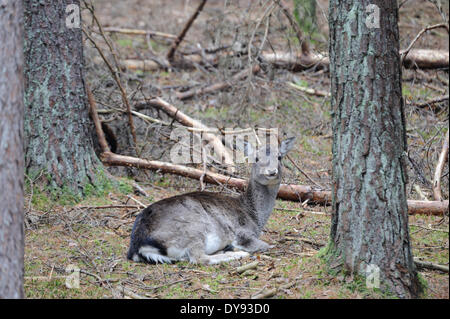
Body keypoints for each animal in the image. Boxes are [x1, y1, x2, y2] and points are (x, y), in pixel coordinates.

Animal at [126, 138, 296, 264]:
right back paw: (237, 254)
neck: (254, 217)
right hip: (193, 230)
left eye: (279, 157)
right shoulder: (243, 234)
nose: (271, 172)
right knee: (199, 258)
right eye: (256, 158)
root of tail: (138, 246)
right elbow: (267, 245)